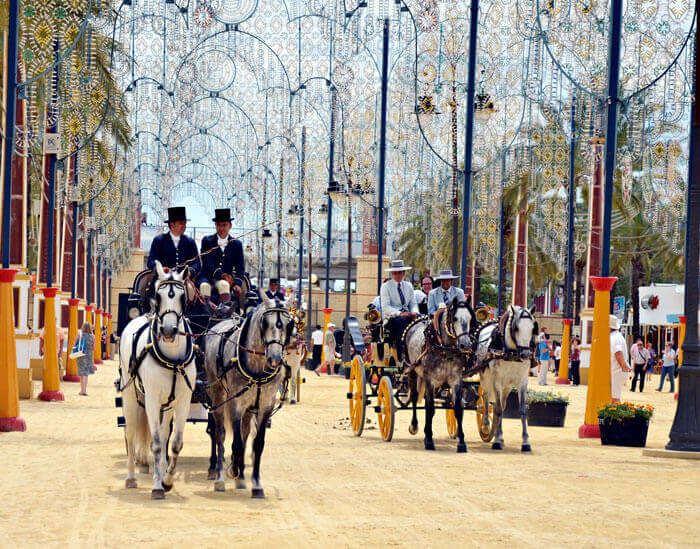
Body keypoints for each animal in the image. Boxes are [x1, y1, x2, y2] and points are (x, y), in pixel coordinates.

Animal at [117, 262, 194, 496]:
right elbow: (157, 443)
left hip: (166, 405)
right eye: (158, 296)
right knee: (131, 432)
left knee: (162, 431)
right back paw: (131, 477)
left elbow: (174, 443)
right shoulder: (150, 399)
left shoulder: (183, 401)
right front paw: (158, 486)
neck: (172, 356)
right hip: (131, 396)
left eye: (183, 297)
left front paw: (167, 480)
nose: (169, 330)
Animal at [204, 296, 294, 496]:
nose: (275, 358)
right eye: (265, 323)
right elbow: (236, 442)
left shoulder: (265, 405)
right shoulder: (236, 404)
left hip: (248, 408)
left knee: (244, 434)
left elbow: (256, 444)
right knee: (219, 433)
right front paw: (233, 470)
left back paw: (241, 476)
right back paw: (219, 475)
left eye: (288, 324)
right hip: (217, 396)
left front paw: (256, 483)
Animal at [402, 298, 474, 452]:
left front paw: (461, 442)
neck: (445, 349)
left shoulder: (456, 380)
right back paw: (414, 426)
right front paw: (429, 440)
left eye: (471, 318)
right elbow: (430, 408)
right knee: (415, 397)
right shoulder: (430, 380)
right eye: (455, 318)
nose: (466, 345)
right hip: (412, 371)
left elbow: (458, 409)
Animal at [478, 304, 540, 450]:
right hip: (486, 378)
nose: (525, 354)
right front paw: (497, 439)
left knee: (500, 403)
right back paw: (486, 426)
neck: (512, 353)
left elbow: (522, 410)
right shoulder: (497, 381)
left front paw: (525, 441)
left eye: (533, 328)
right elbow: (498, 409)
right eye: (516, 328)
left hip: (507, 386)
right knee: (486, 398)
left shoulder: (522, 382)